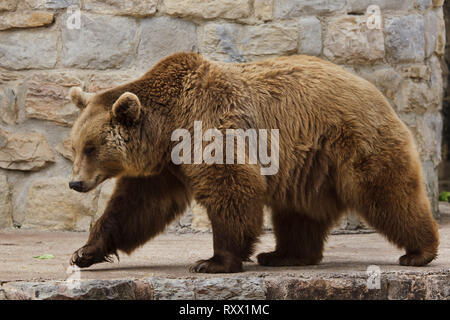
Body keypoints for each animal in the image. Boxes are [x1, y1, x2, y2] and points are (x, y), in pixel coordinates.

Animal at [67, 52, 440, 272]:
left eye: (92, 148)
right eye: (75, 146)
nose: (75, 183)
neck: (167, 127)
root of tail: (376, 92)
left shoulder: (208, 128)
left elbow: (232, 185)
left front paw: (213, 261)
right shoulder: (164, 168)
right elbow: (135, 207)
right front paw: (84, 252)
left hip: (352, 142)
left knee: (386, 193)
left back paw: (419, 251)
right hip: (309, 165)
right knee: (299, 212)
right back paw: (284, 255)